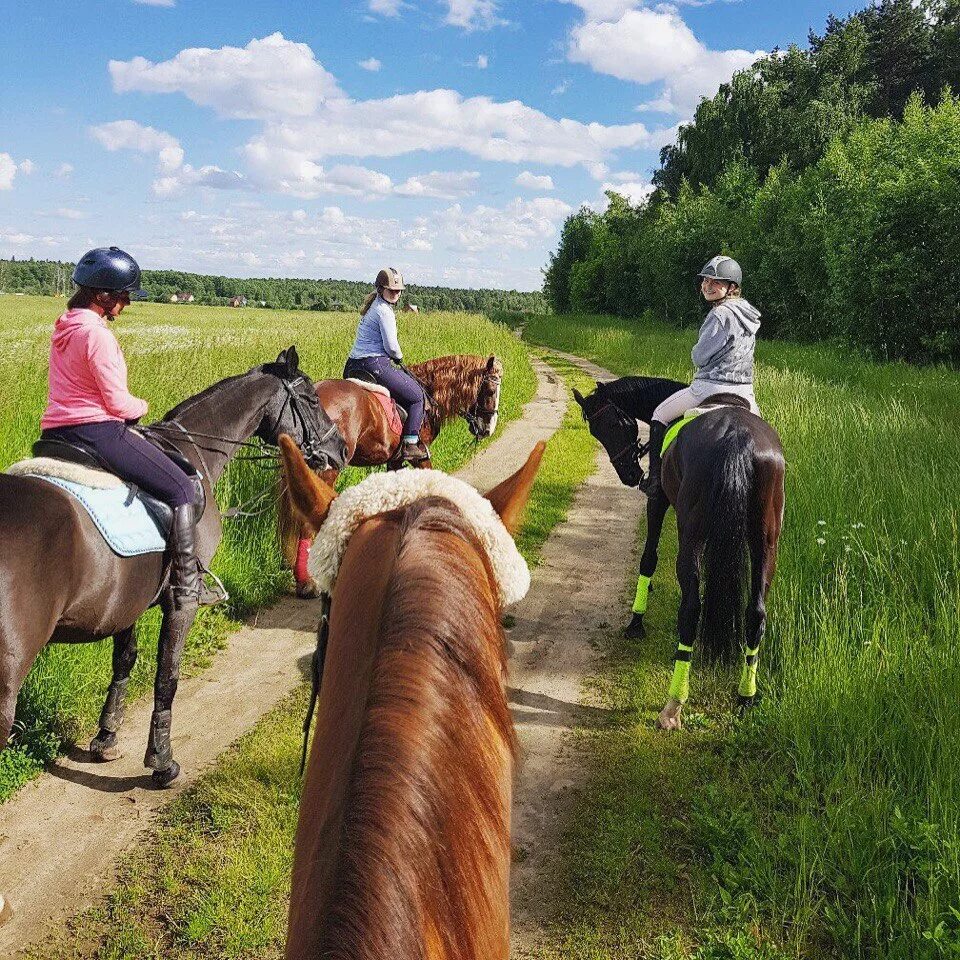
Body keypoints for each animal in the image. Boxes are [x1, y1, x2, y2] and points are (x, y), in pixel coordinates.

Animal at [0, 348, 338, 784]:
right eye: (312, 399)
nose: (339, 449)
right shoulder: (183, 601)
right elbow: (168, 674)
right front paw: (161, 760)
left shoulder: (123, 602)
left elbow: (124, 660)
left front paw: (106, 739)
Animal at [278, 348, 502, 596]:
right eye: (490, 390)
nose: (488, 429)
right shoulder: (420, 457)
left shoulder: (395, 460)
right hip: (327, 469)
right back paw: (307, 582)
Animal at [572, 376, 784, 728]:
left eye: (611, 425)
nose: (630, 475)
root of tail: (736, 435)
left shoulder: (657, 501)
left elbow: (648, 559)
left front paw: (636, 622)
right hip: (765, 542)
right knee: (756, 614)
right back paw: (745, 698)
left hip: (691, 534)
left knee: (691, 609)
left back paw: (673, 706)